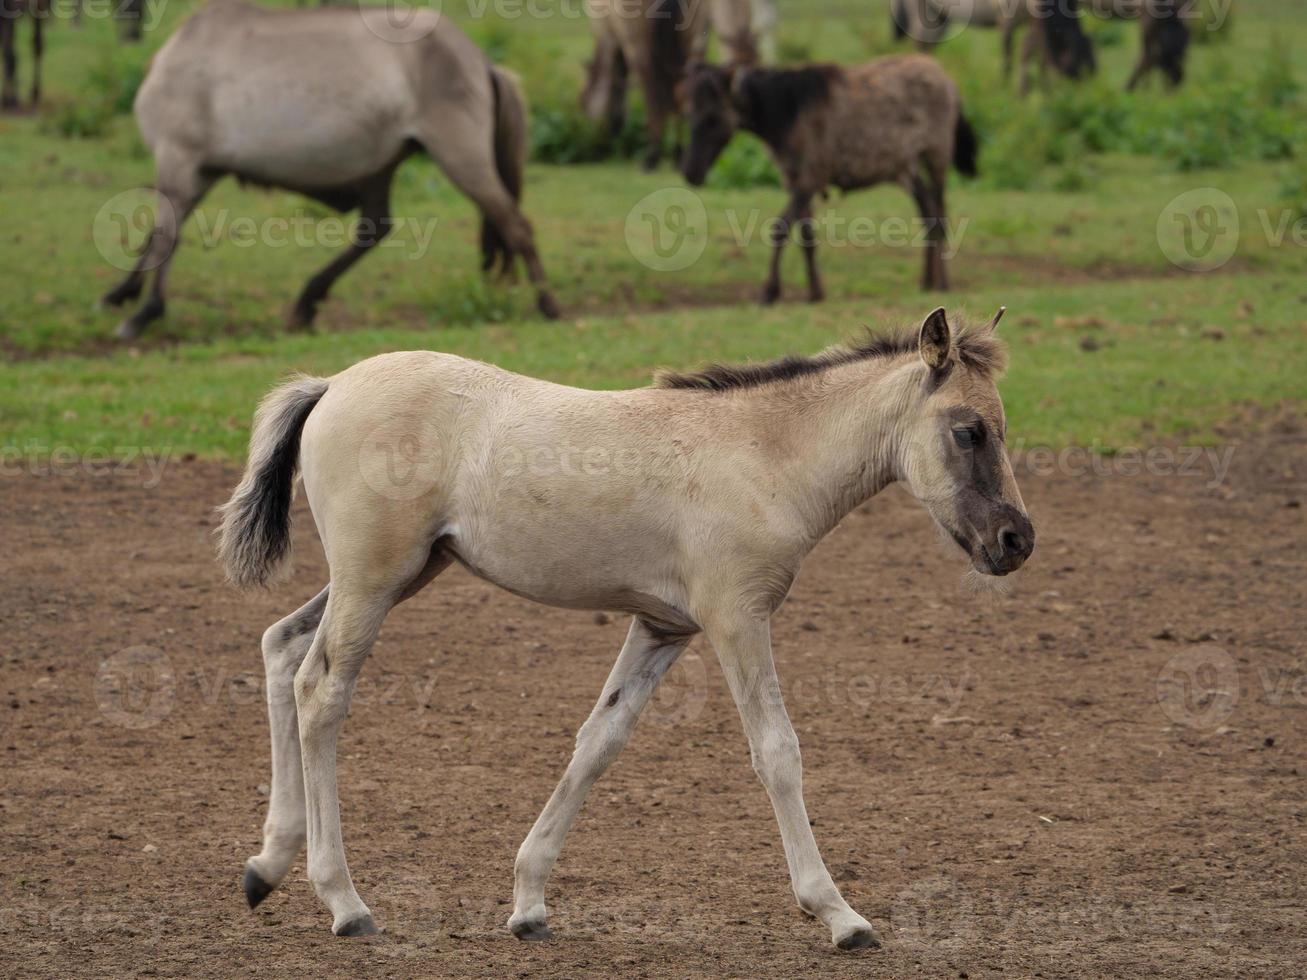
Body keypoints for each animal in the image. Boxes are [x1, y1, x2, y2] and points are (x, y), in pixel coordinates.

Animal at [99, 0, 554, 342]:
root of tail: (479, 59)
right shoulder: (198, 171)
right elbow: (157, 235)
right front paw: (122, 293)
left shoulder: (179, 159)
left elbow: (165, 235)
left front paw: (144, 312)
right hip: (383, 168)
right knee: (375, 228)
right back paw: (306, 302)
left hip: (461, 158)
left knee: (515, 224)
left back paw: (548, 305)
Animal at [219, 307, 1035, 951]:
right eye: (968, 431)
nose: (1016, 541)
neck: (764, 453)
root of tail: (331, 385)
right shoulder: (736, 618)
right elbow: (777, 752)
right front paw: (837, 913)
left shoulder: (662, 627)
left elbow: (598, 742)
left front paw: (528, 903)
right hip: (374, 579)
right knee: (321, 692)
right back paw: (344, 901)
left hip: (406, 571)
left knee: (281, 647)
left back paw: (266, 866)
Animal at [582, 0, 758, 169]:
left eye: (582, 102)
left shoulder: (612, 37)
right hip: (694, 36)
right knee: (682, 91)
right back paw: (677, 153)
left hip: (639, 43)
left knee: (654, 93)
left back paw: (653, 155)